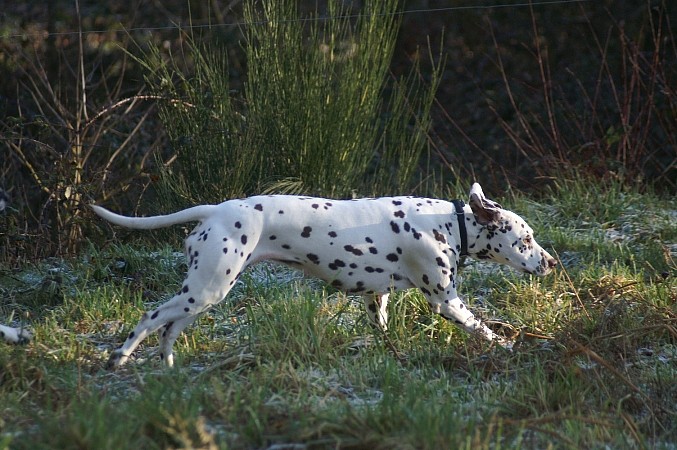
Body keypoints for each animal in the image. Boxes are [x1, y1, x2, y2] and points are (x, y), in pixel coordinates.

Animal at [91, 181, 556, 368]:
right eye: (527, 238)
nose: (552, 263)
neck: (446, 222)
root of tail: (216, 210)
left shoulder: (376, 298)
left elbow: (384, 332)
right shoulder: (447, 302)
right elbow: (483, 328)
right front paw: (509, 347)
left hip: (203, 293)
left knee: (169, 330)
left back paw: (169, 367)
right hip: (206, 290)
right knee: (151, 318)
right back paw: (119, 357)